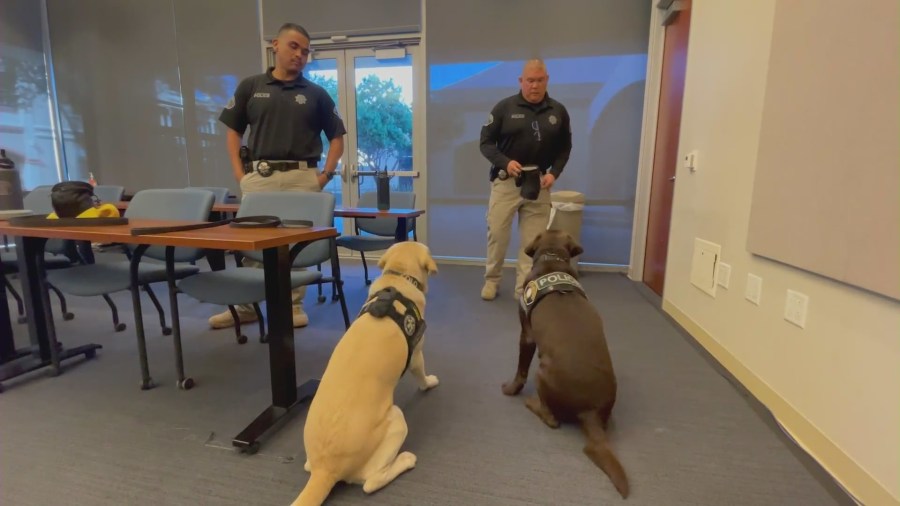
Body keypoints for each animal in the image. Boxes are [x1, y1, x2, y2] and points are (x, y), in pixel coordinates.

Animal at [292, 241, 440, 506]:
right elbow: (421, 374)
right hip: (397, 419)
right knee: (371, 482)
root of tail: (324, 469)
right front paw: (430, 382)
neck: (398, 276)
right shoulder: (416, 353)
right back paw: (405, 460)